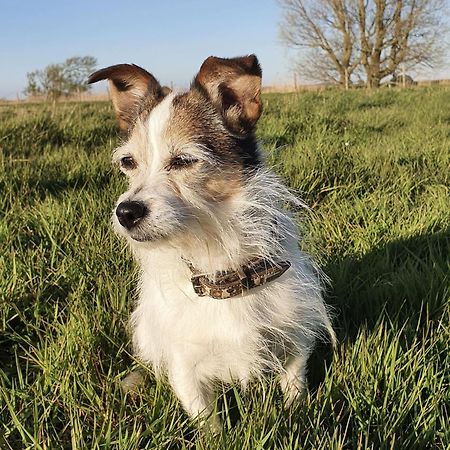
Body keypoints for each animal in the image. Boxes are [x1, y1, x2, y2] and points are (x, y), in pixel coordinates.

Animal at [88, 53, 334, 428]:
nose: (126, 212)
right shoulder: (186, 370)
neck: (219, 264)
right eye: (128, 162)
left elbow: (294, 386)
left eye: (184, 160)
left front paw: (297, 418)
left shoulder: (295, 338)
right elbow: (208, 424)